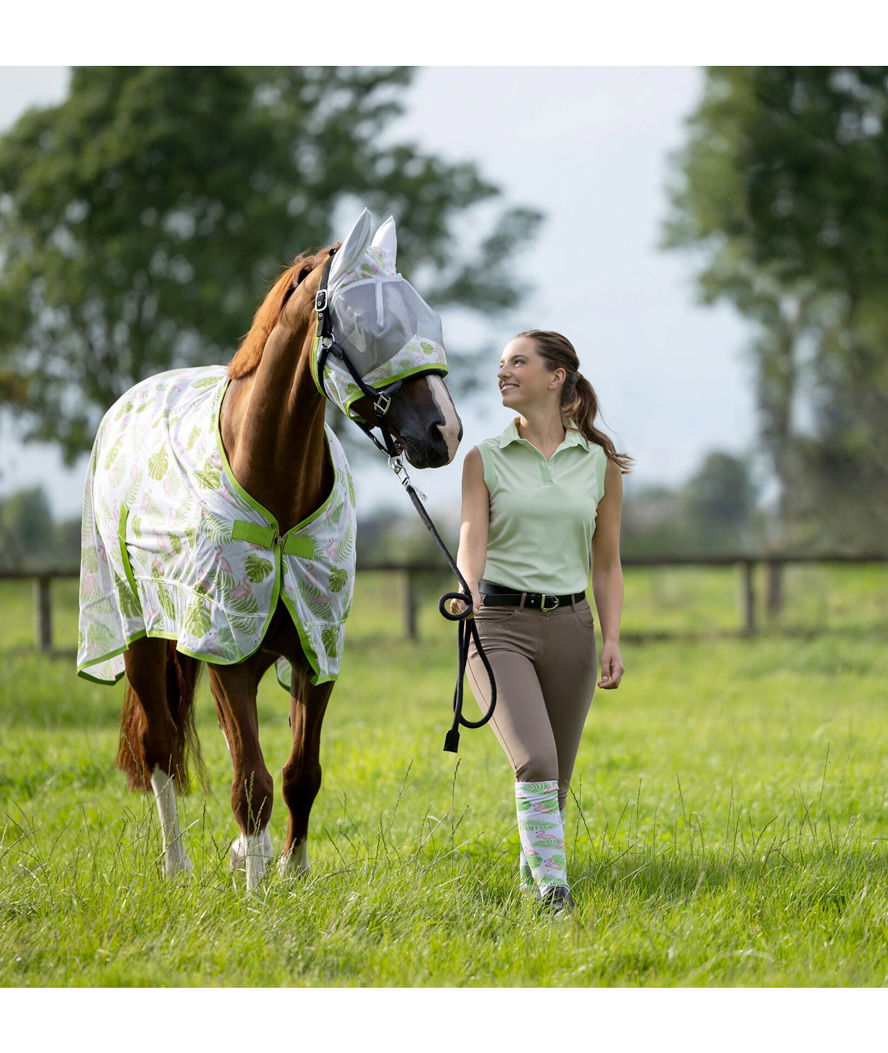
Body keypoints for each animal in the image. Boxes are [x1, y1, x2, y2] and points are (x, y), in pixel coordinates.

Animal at [80, 211, 461, 888]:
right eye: (374, 326)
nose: (446, 432)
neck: (274, 489)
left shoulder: (316, 649)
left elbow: (299, 774)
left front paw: (290, 870)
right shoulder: (224, 652)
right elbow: (251, 781)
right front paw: (258, 888)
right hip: (144, 638)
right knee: (159, 748)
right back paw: (177, 865)